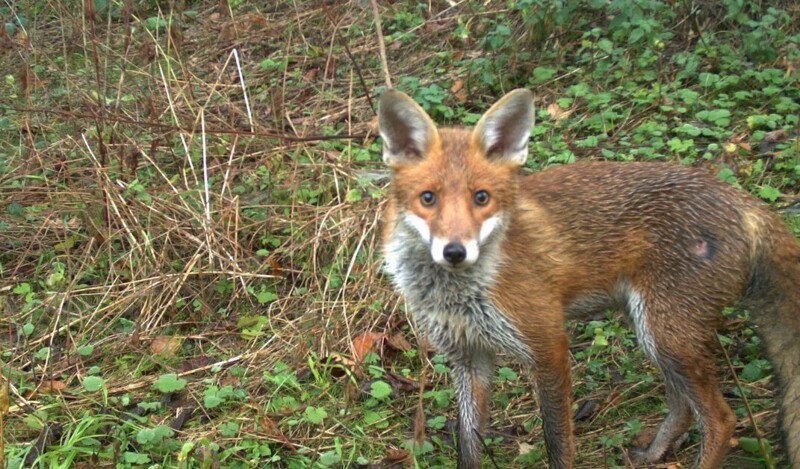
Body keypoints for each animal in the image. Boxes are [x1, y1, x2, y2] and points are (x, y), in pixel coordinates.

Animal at [378, 88, 800, 468]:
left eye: (481, 198)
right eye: (428, 198)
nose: (455, 252)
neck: (458, 295)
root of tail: (739, 198)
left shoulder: (548, 345)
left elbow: (556, 441)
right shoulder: (468, 357)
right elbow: (468, 447)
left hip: (667, 335)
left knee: (721, 419)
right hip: (654, 333)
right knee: (682, 405)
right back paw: (653, 454)